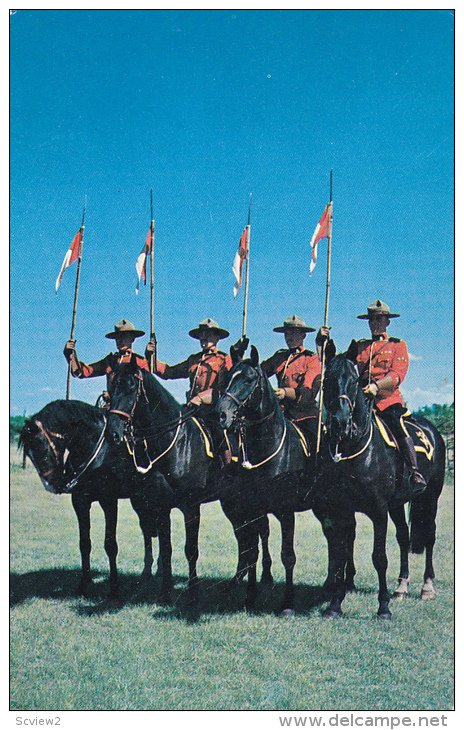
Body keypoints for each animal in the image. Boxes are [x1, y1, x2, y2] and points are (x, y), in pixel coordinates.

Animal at [19, 398, 173, 596]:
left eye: (40, 449)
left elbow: (110, 544)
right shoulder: (80, 501)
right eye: (28, 454)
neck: (96, 450)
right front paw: (84, 584)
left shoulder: (108, 501)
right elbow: (84, 543)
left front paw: (114, 587)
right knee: (147, 530)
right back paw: (147, 572)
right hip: (139, 501)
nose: (52, 485)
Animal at [105, 358, 272, 604]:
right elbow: (166, 549)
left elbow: (190, 549)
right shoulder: (162, 508)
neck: (177, 444)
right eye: (111, 388)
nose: (113, 432)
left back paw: (264, 577)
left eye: (131, 388)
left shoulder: (191, 507)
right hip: (232, 503)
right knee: (246, 540)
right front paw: (165, 591)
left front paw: (193, 592)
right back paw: (233, 584)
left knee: (260, 533)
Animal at [216, 344, 318, 612]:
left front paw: (288, 602)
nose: (221, 414)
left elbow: (288, 555)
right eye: (227, 377)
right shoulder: (254, 508)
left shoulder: (286, 510)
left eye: (249, 379)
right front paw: (250, 596)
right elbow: (252, 552)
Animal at [316, 356, 446, 616]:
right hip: (397, 504)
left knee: (429, 535)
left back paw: (427, 587)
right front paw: (335, 605)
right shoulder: (342, 509)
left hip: (430, 497)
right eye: (327, 380)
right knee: (404, 537)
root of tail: (433, 431)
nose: (341, 422)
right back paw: (402, 587)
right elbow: (341, 554)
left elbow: (379, 557)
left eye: (354, 380)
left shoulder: (378, 510)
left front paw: (383, 607)